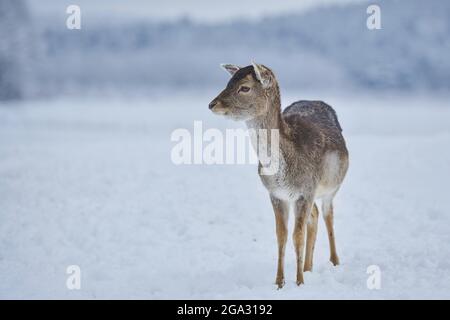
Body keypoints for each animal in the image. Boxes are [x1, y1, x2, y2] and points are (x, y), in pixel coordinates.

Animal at [209, 62, 350, 288]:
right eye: (228, 82)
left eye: (244, 87)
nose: (212, 104)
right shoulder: (276, 194)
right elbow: (281, 235)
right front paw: (279, 282)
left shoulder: (305, 191)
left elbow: (297, 236)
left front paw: (299, 282)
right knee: (315, 215)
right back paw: (308, 267)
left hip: (332, 186)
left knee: (328, 215)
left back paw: (334, 262)